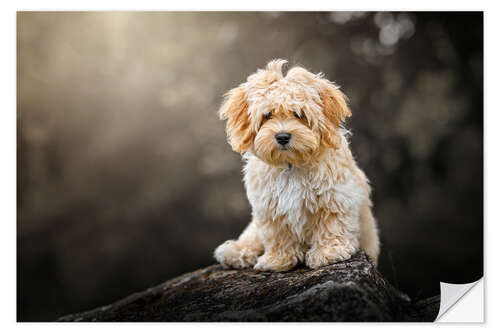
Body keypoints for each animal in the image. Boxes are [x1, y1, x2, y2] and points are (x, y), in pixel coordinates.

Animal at [213, 59, 380, 272]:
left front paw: (329, 252)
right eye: (268, 115)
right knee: (252, 235)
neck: (291, 164)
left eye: (299, 114)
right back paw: (237, 251)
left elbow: (332, 224)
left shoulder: (335, 196)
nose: (283, 136)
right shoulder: (270, 208)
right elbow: (278, 234)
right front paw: (278, 259)